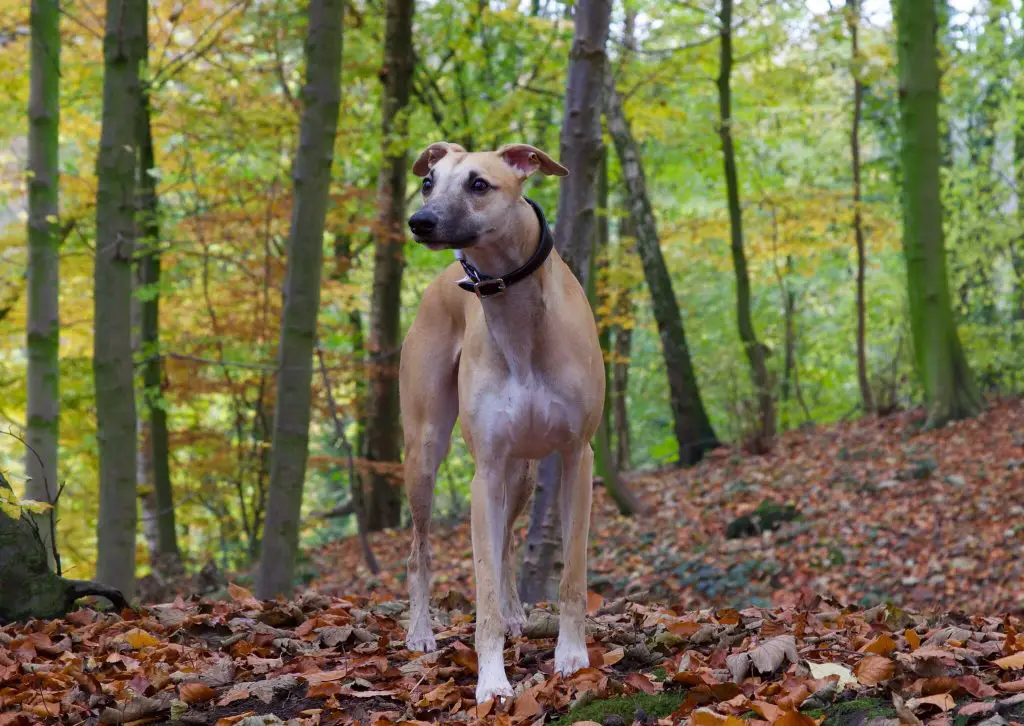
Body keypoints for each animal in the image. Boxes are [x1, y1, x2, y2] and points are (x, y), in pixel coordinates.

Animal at [397, 141, 606, 700]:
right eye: (428, 182)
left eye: (479, 184)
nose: (421, 222)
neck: (518, 317)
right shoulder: (485, 473)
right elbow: (483, 586)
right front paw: (491, 680)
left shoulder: (577, 458)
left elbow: (571, 573)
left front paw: (571, 654)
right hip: (424, 455)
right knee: (419, 551)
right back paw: (420, 632)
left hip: (525, 472)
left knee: (510, 543)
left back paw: (516, 613)